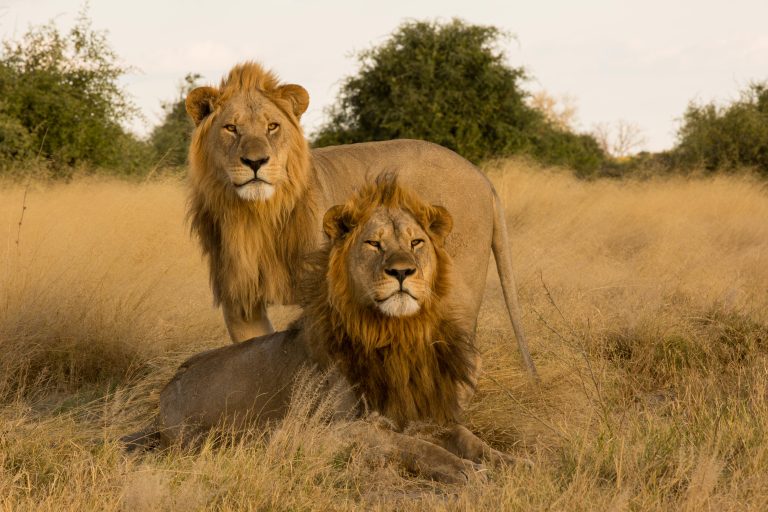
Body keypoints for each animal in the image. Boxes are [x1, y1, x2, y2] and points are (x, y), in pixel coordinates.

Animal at [124, 178, 520, 482]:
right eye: (373, 243)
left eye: (416, 242)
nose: (402, 272)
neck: (396, 336)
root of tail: (168, 386)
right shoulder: (332, 429)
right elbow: (413, 445)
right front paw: (465, 470)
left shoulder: (424, 413)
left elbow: (468, 437)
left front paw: (511, 461)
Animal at [184, 62, 540, 378]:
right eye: (231, 128)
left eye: (272, 126)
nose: (256, 162)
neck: (256, 215)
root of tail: (481, 175)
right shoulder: (241, 303)